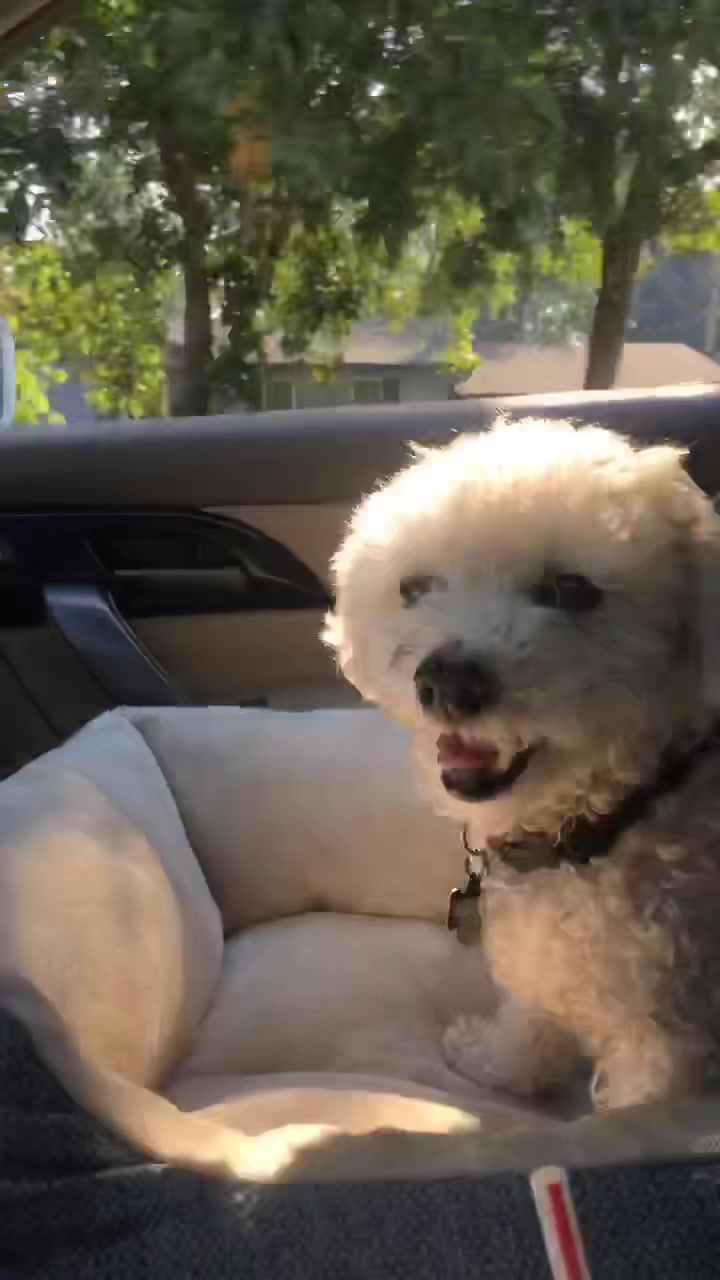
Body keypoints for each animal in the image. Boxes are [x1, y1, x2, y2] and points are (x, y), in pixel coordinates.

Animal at [324, 417, 720, 1110]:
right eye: (413, 587)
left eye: (572, 590)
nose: (446, 682)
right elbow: (530, 1017)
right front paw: (495, 1063)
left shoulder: (669, 1045)